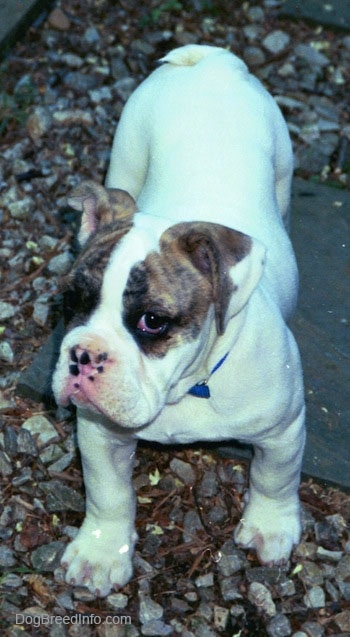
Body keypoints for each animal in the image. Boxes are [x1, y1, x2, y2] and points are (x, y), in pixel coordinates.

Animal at [53, 46, 304, 596]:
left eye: (152, 321)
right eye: (70, 300)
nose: (82, 354)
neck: (187, 388)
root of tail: (208, 59)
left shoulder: (283, 430)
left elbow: (275, 478)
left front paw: (271, 527)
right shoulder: (99, 434)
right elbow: (108, 493)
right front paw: (103, 552)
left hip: (283, 170)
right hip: (126, 154)